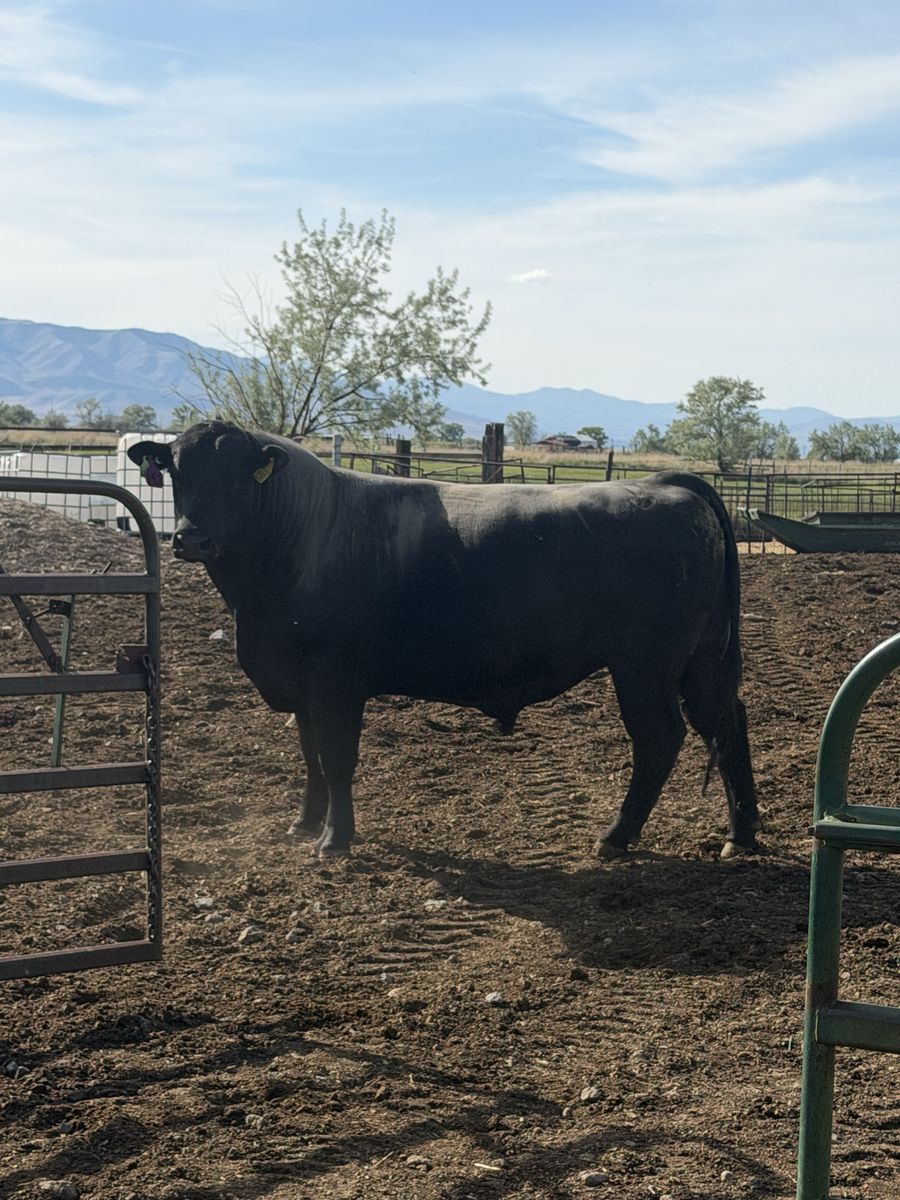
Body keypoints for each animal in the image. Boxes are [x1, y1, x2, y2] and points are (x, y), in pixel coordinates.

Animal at [128, 421, 759, 861]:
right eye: (177, 472)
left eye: (239, 476)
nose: (191, 539)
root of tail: (663, 483)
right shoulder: (300, 685)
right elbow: (309, 755)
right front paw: (304, 823)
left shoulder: (334, 680)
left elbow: (336, 757)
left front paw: (335, 839)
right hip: (701, 661)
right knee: (728, 721)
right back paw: (742, 835)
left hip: (644, 667)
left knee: (661, 738)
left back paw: (616, 837)